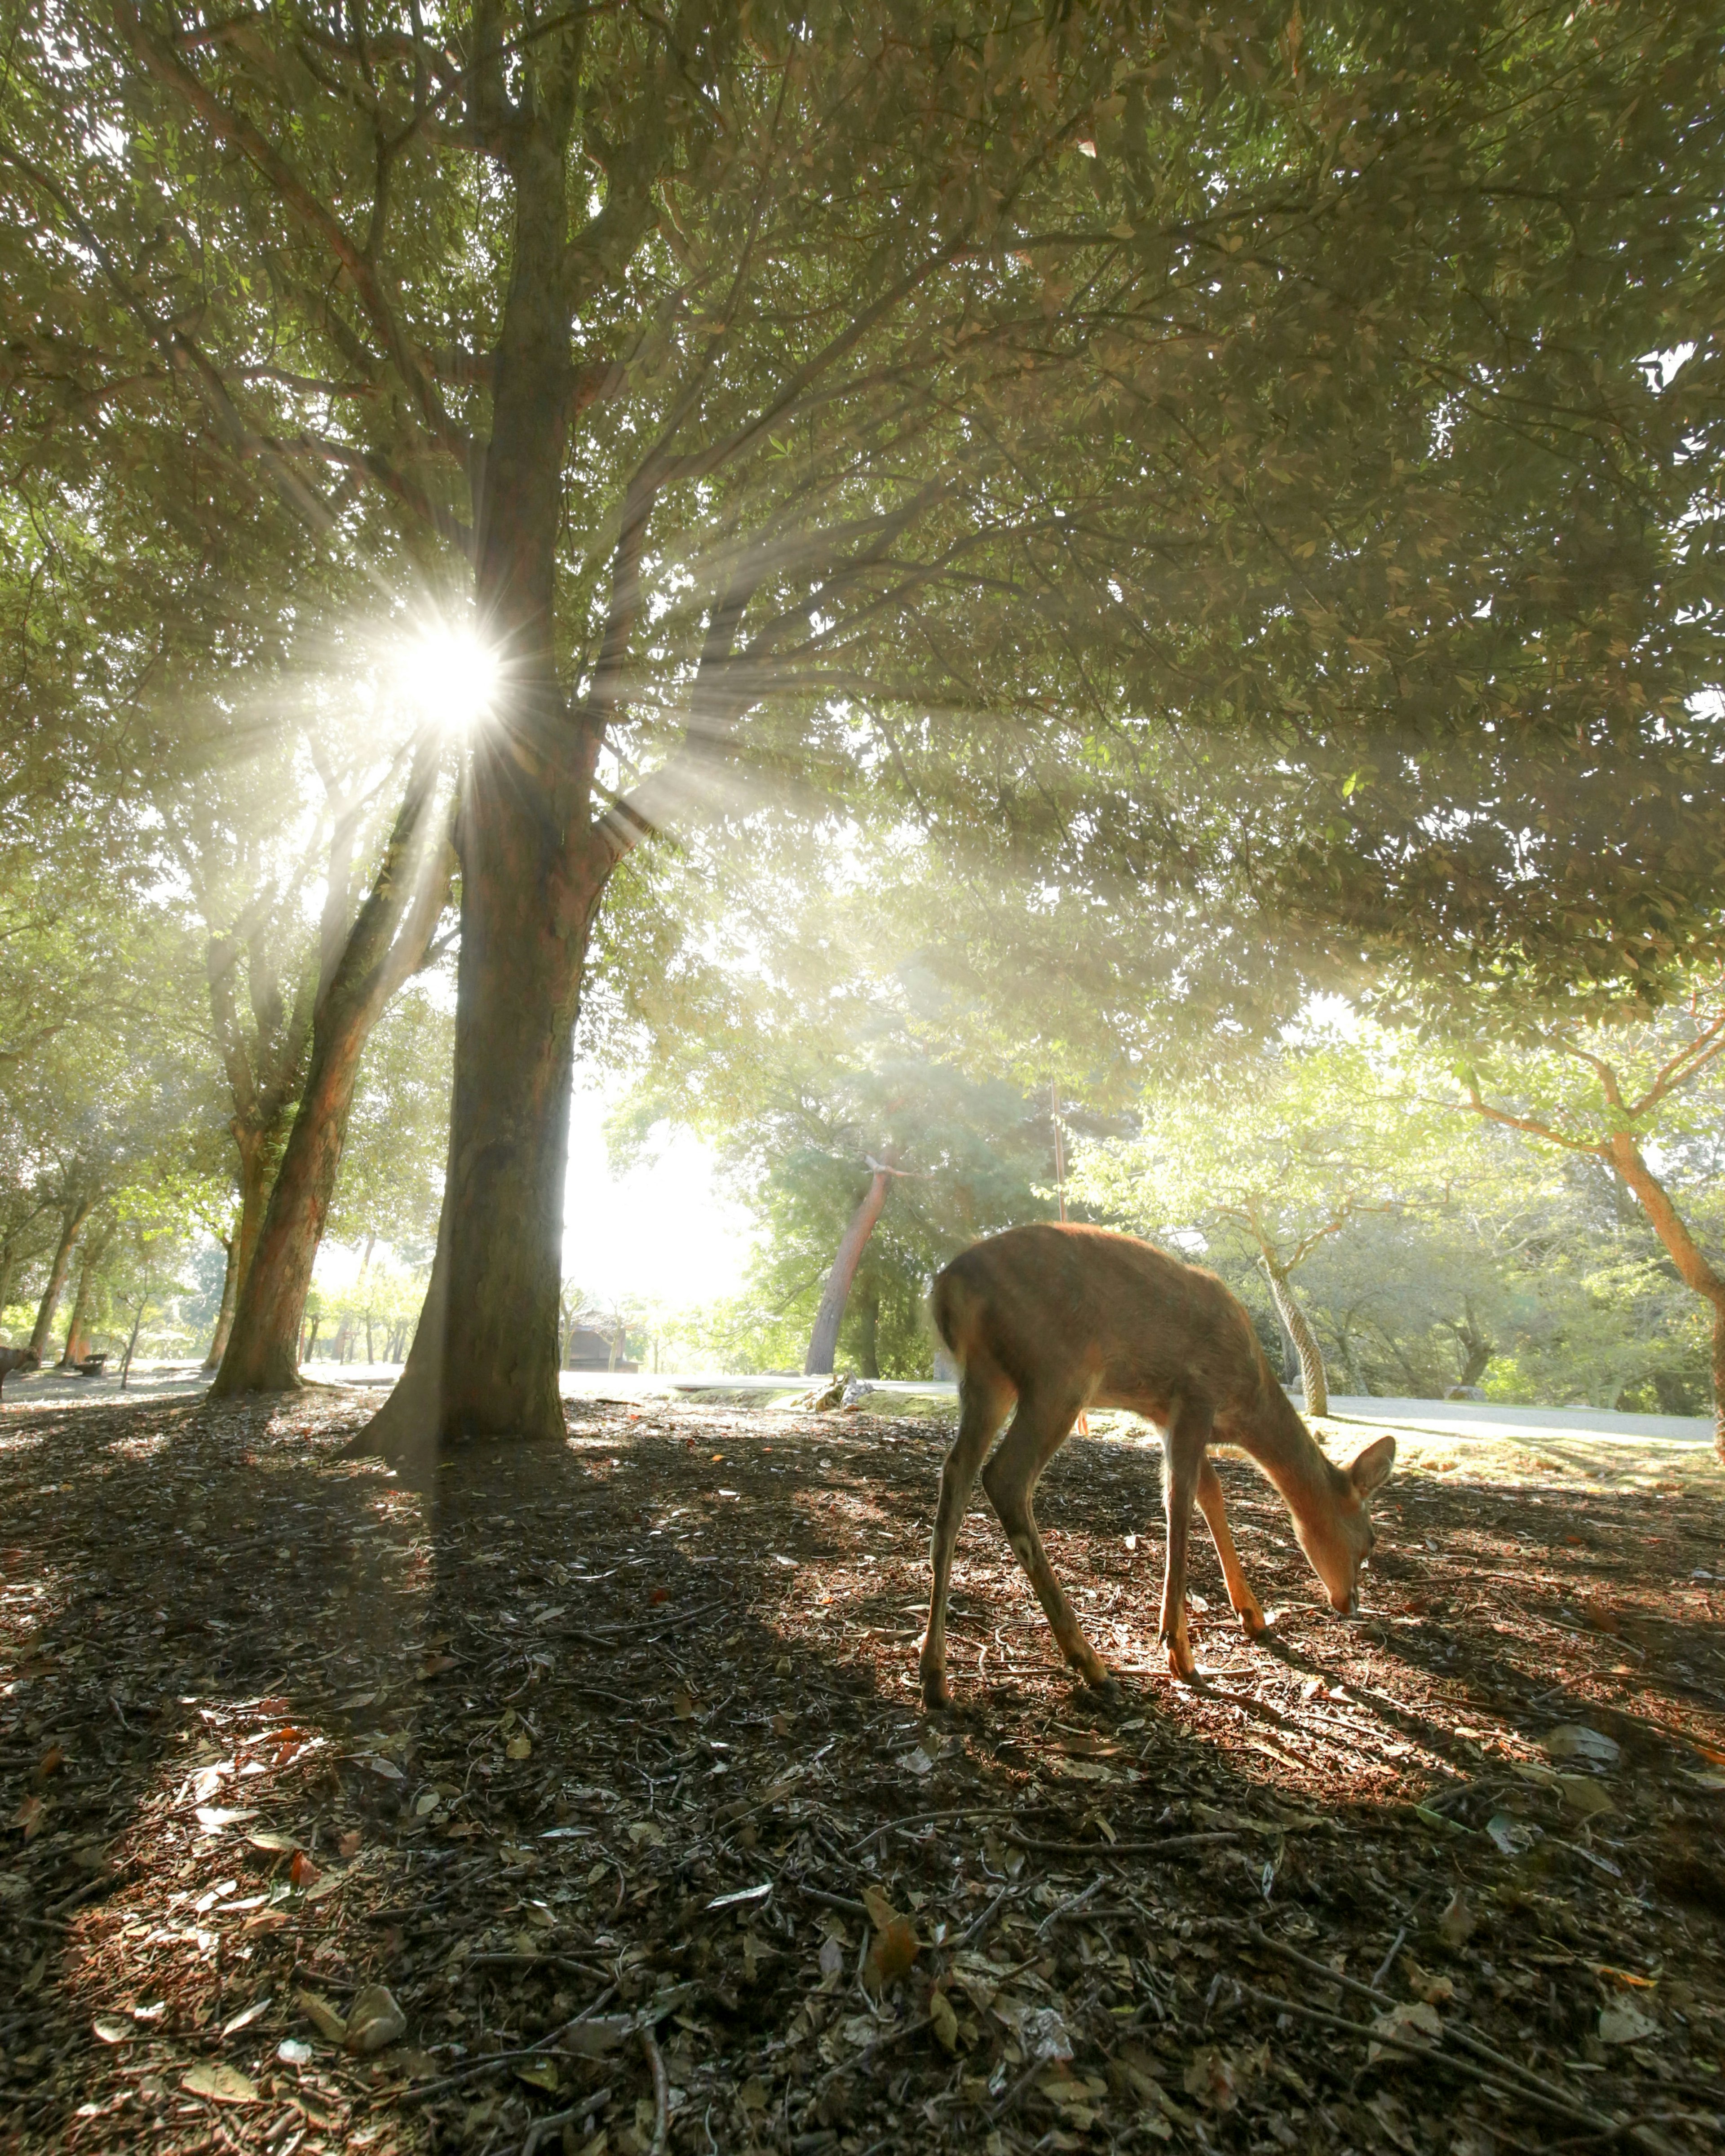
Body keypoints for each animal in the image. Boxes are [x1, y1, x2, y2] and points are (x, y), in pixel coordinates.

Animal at [923, 1233, 1397, 1699]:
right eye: (1371, 1540)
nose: (1352, 1602)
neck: (1248, 1401)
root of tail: (947, 1286)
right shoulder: (1196, 1396)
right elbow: (1180, 1501)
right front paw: (1180, 1652)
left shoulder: (1165, 1415)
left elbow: (1211, 1493)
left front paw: (1253, 1616)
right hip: (1059, 1373)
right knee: (1004, 1477)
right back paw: (1092, 1664)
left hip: (987, 1380)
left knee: (955, 1473)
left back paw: (935, 1676)